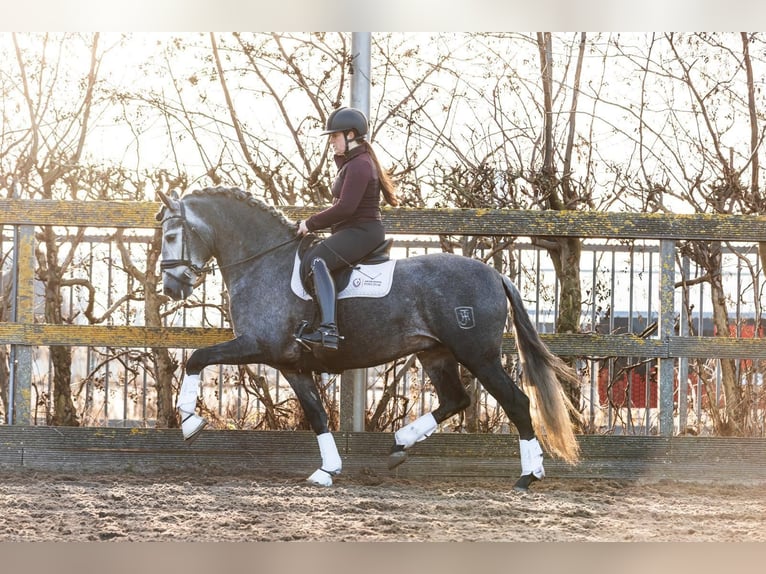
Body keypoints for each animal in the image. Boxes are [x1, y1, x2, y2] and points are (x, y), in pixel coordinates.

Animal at [157, 186, 581, 491]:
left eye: (173, 235)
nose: (171, 288)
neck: (265, 262)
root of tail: (495, 274)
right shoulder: (290, 364)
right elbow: (317, 414)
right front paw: (327, 470)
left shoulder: (258, 345)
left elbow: (197, 357)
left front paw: (190, 421)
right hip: (436, 354)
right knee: (455, 399)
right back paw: (401, 443)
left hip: (478, 355)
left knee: (516, 402)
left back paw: (527, 476)